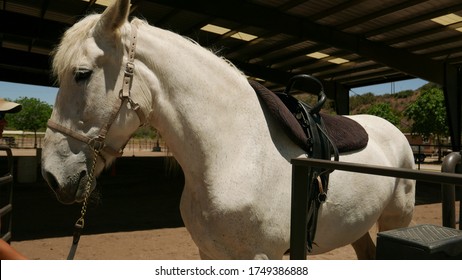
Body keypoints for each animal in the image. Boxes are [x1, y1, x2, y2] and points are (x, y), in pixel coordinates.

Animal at [40, 0, 416, 260]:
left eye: (82, 73)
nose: (51, 177)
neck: (232, 152)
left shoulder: (260, 256)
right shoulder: (210, 253)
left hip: (397, 221)